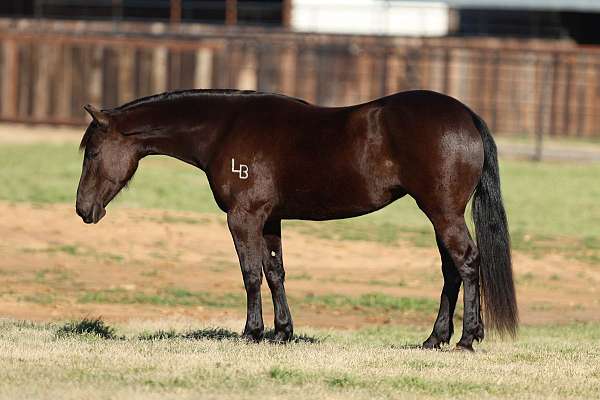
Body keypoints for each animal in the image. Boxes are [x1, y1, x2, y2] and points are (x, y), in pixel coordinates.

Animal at [75, 88, 516, 350]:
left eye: (92, 152)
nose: (83, 209)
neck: (225, 129)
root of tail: (466, 115)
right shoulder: (270, 221)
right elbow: (275, 273)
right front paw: (282, 332)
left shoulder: (243, 218)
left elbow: (251, 274)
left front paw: (251, 332)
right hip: (440, 215)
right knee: (451, 270)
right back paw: (434, 339)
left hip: (442, 213)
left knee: (467, 262)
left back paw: (466, 339)